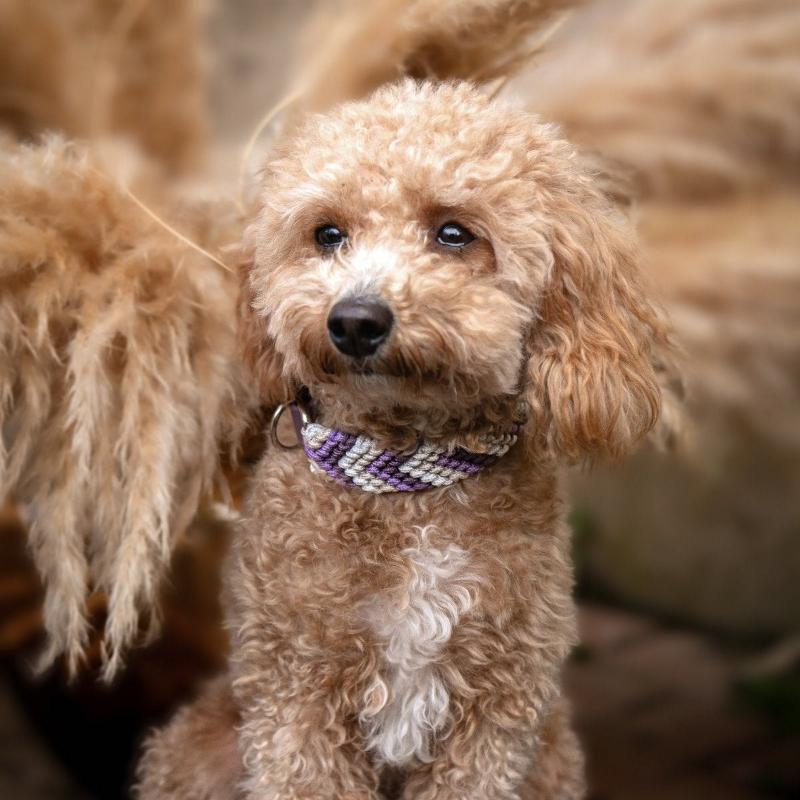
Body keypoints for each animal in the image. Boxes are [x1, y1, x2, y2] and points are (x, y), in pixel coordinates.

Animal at [136, 79, 668, 800]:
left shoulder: (499, 706)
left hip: (553, 756)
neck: (406, 473)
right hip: (198, 748)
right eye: (328, 234)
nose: (355, 320)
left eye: (454, 234)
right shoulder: (296, 693)